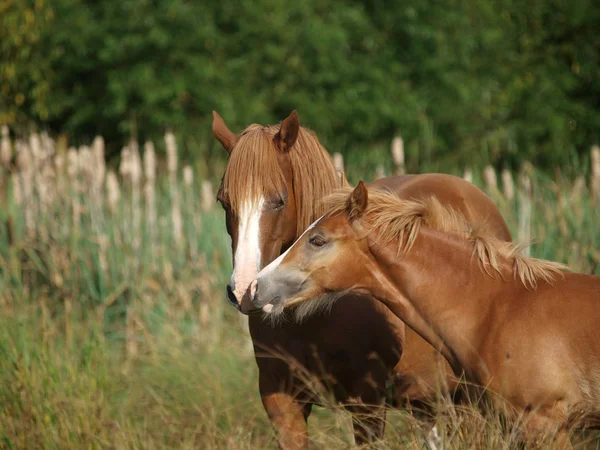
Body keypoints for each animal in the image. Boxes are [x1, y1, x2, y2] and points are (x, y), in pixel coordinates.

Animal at [211, 110, 510, 450]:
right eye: (224, 202)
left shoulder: (367, 405)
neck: (313, 318)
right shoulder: (282, 404)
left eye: (279, 201)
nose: (244, 290)